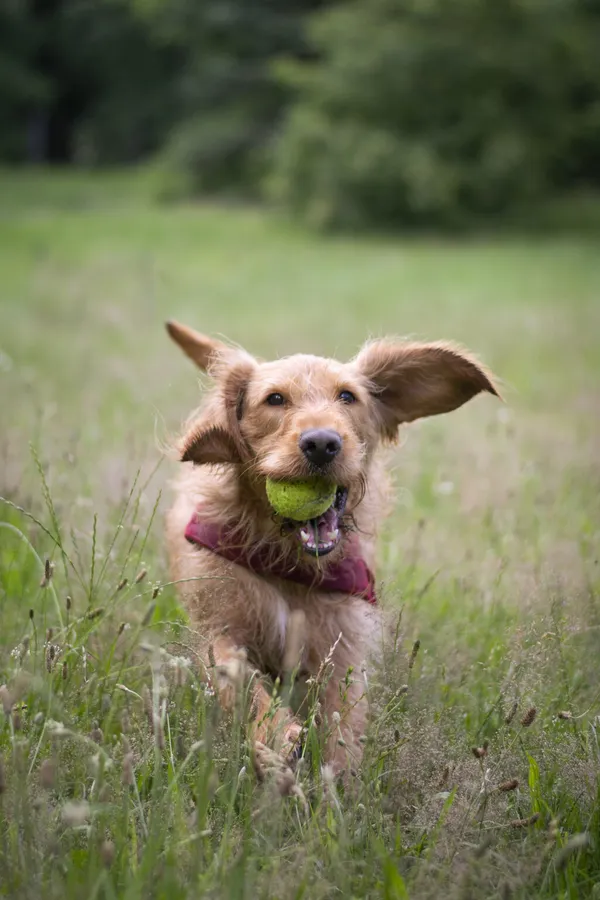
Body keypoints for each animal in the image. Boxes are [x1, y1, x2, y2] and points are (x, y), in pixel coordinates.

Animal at [164, 324, 496, 772]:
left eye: (347, 396)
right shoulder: (219, 628)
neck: (288, 561)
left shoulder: (342, 648)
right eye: (275, 399)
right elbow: (241, 681)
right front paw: (276, 735)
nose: (322, 443)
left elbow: (344, 721)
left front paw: (337, 777)